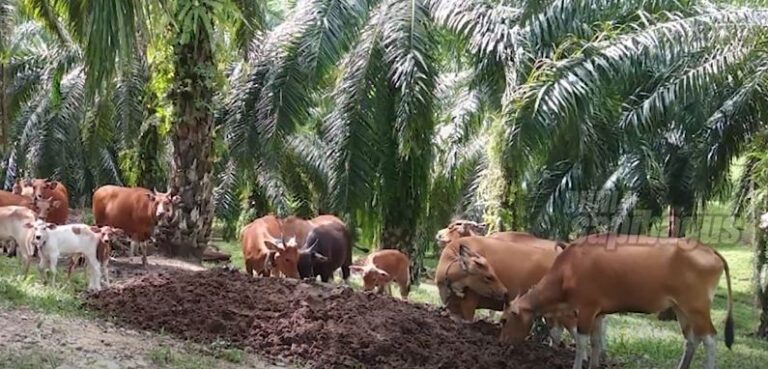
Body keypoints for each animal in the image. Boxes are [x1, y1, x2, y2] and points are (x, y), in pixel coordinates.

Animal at [500, 233, 736, 368]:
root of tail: (709, 250)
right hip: (680, 309)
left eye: (504, 320)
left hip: (697, 307)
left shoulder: (586, 309)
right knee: (692, 339)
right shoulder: (598, 313)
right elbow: (595, 342)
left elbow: (582, 342)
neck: (568, 269)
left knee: (709, 338)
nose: (502, 342)